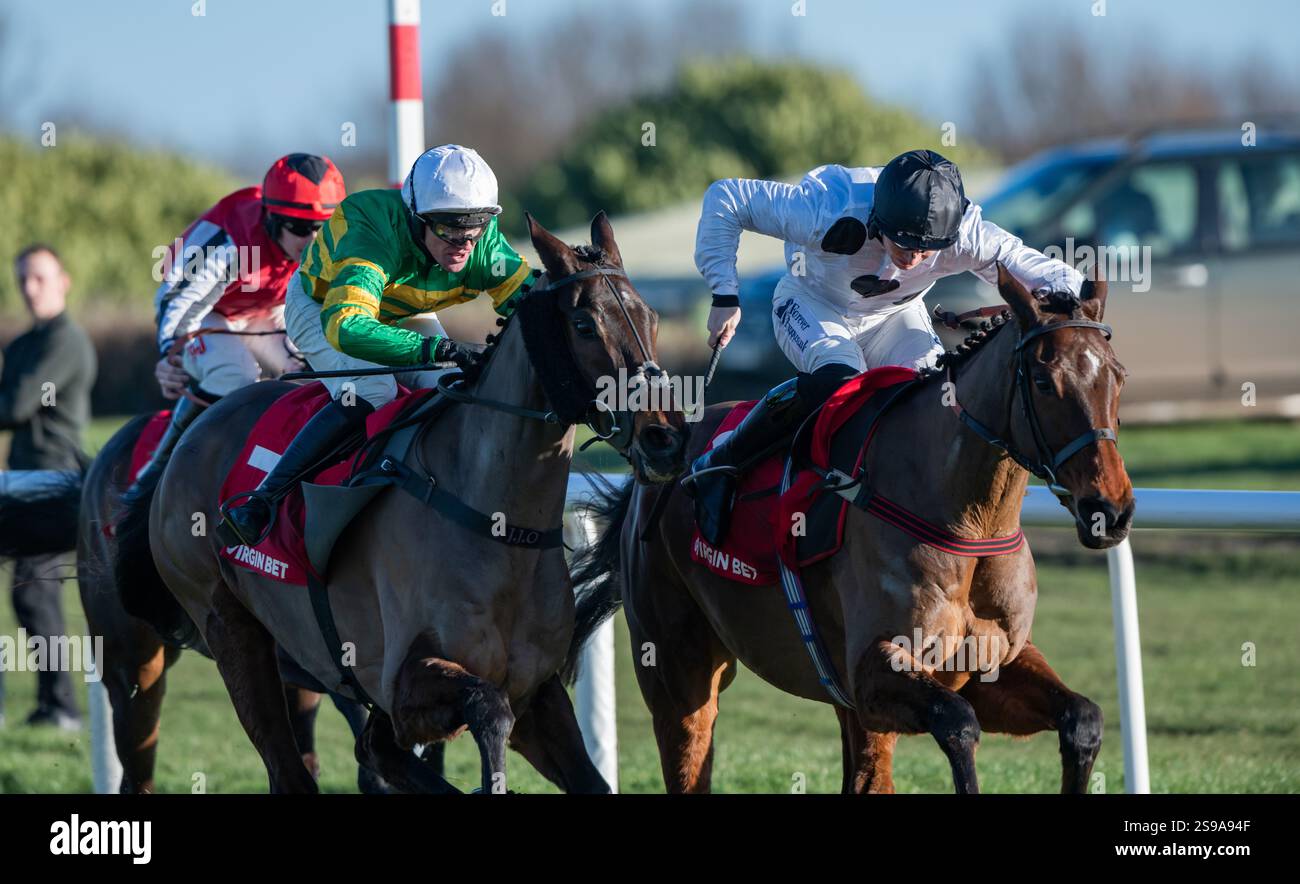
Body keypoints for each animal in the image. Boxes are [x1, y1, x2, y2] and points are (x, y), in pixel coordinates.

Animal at [111, 211, 691, 795]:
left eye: (651, 317)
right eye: (584, 325)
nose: (664, 438)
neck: (499, 524)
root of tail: (194, 426)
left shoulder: (536, 691)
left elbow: (578, 773)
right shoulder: (406, 680)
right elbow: (486, 708)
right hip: (229, 627)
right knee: (293, 767)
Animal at [574, 262, 1133, 795]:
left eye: (1118, 376)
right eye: (1043, 382)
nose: (1110, 509)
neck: (970, 521)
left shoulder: (988, 662)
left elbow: (1083, 716)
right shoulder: (873, 672)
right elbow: (958, 724)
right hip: (677, 670)